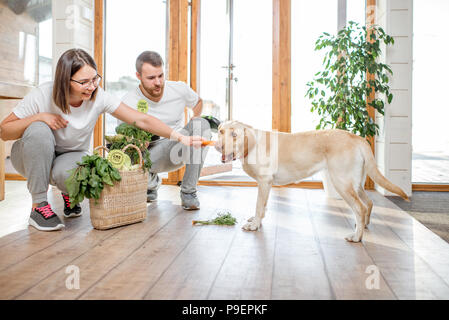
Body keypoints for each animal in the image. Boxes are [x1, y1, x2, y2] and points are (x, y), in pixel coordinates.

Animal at [215, 120, 408, 242]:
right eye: (221, 132)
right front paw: (257, 220)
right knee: (368, 203)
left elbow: (258, 205)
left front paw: (254, 225)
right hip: (355, 183)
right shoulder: (266, 184)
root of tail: (357, 138)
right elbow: (263, 207)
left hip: (341, 182)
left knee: (360, 207)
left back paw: (356, 237)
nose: (218, 147)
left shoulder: (264, 181)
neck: (252, 144)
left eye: (234, 135)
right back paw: (363, 226)